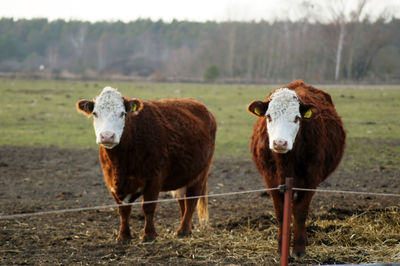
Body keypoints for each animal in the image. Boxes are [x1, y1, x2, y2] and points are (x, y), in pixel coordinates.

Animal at [76, 88, 217, 243]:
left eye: (122, 113)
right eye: (95, 113)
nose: (107, 136)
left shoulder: (154, 178)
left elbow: (148, 206)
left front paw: (149, 235)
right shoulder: (111, 181)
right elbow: (123, 210)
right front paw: (123, 236)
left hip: (200, 173)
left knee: (192, 199)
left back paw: (183, 230)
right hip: (183, 173)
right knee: (182, 200)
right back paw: (188, 227)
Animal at [247, 80, 344, 256]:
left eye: (297, 117)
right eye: (269, 116)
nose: (279, 143)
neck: (285, 161)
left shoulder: (311, 181)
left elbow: (300, 212)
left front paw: (299, 249)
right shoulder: (271, 181)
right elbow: (281, 213)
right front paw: (281, 248)